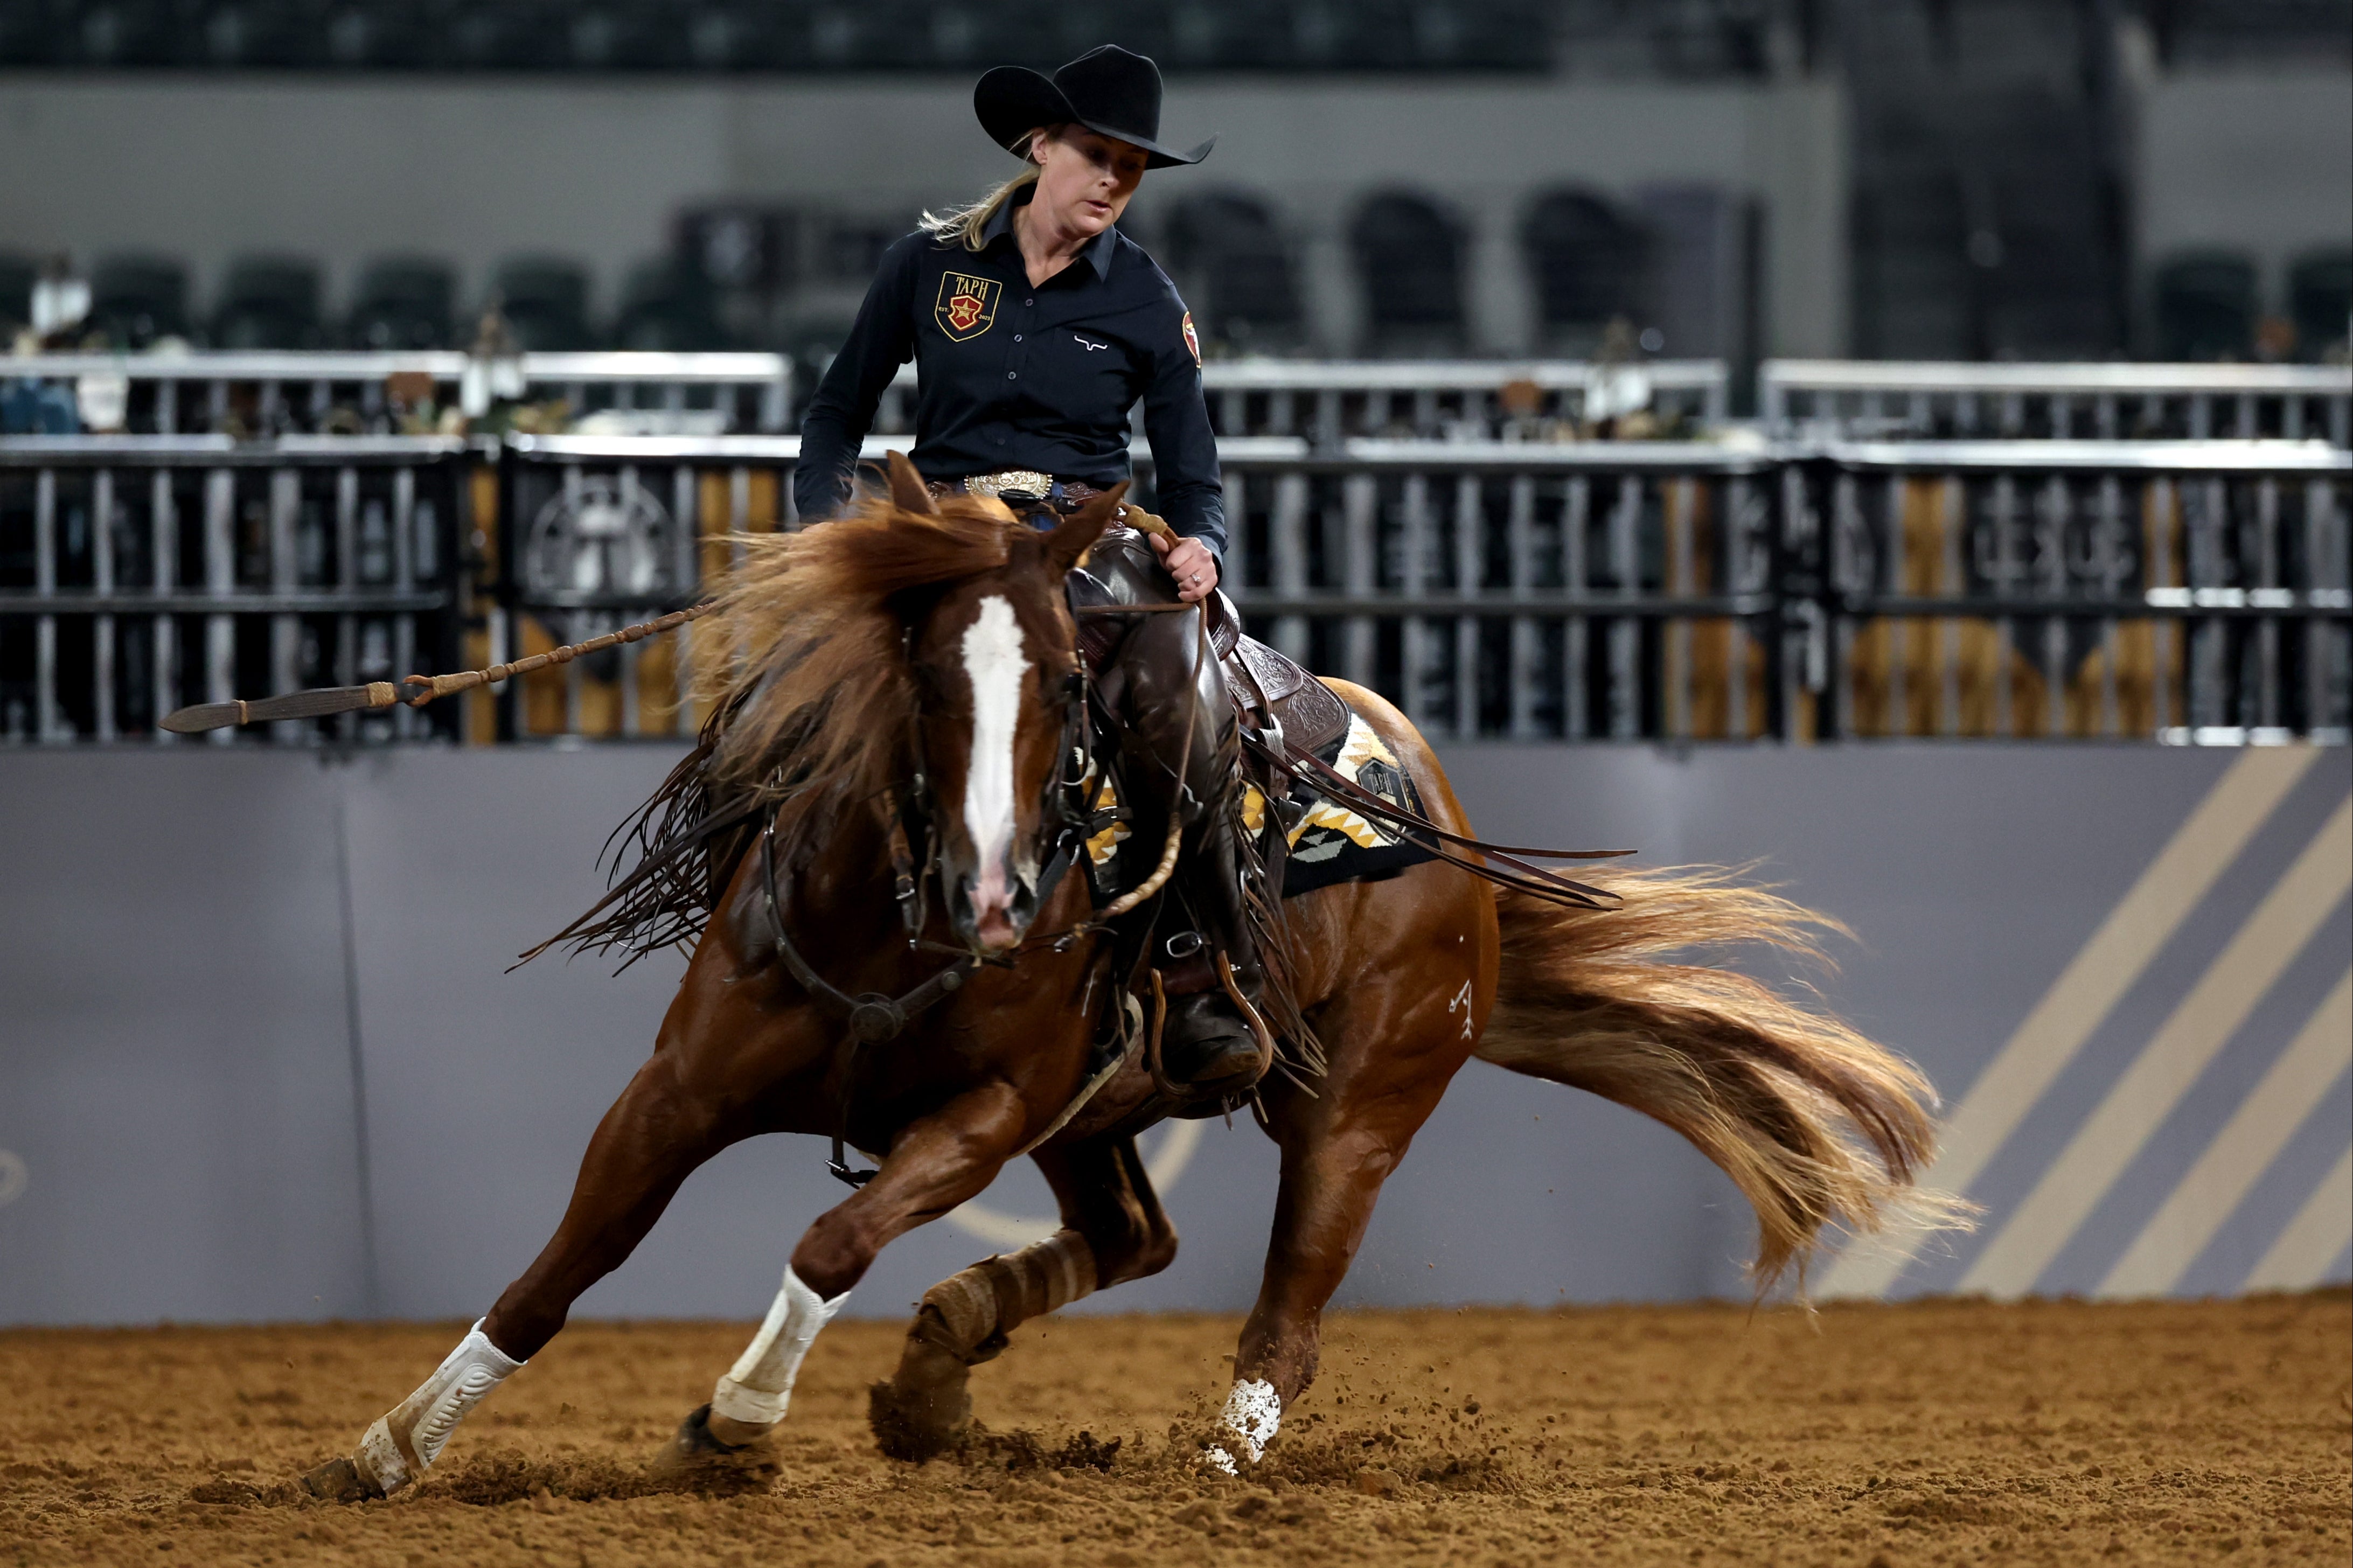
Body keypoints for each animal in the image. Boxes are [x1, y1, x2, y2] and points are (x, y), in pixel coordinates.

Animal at [298, 454, 1948, 1507]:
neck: (896, 923)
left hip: (1358, 1097)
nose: (995, 894)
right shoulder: (679, 1088)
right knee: (1135, 1235)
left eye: (1066, 686)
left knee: (1290, 1296)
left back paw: (1221, 1459)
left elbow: (835, 1235)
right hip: (1101, 1107)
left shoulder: (985, 1108)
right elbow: (565, 1260)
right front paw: (392, 1440)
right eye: (921, 673)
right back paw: (937, 1364)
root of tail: (1434, 807)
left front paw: (741, 1412)